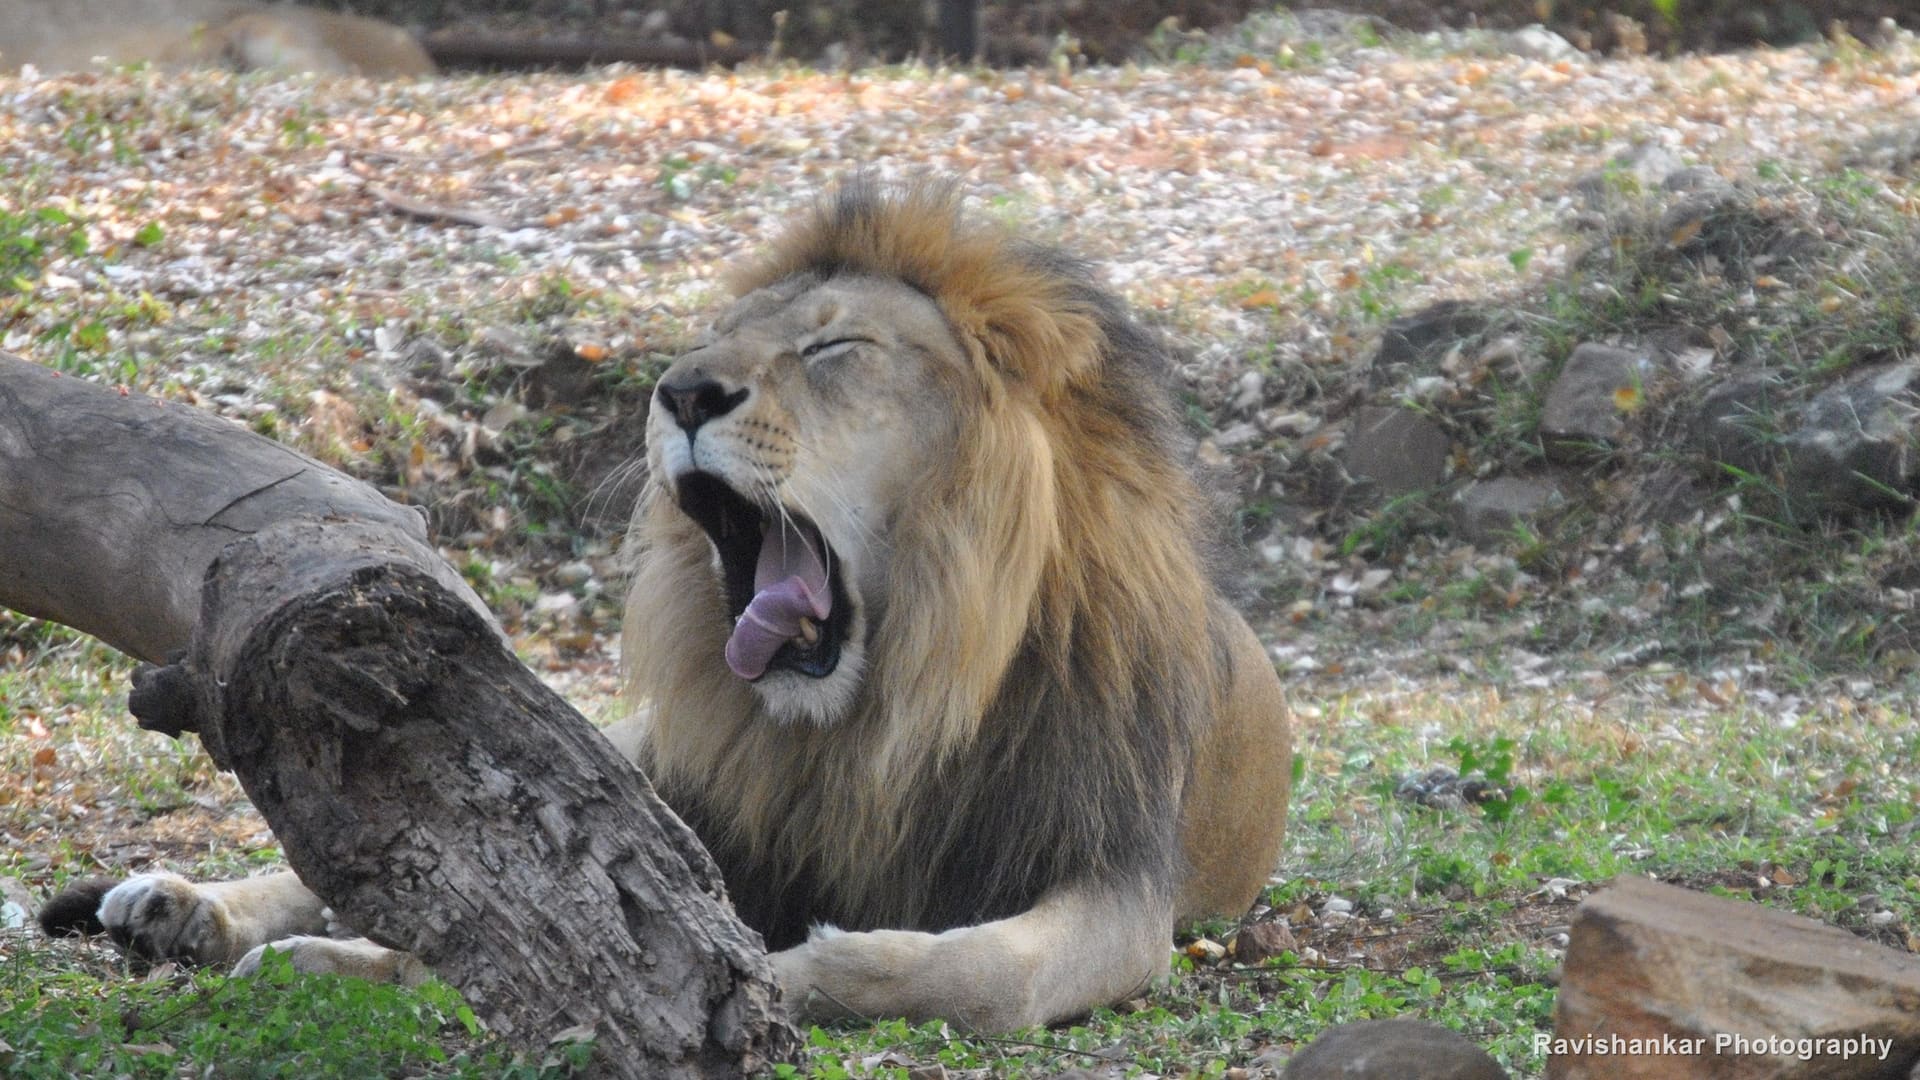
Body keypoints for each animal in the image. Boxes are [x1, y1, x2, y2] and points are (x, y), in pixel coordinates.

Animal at [40, 179, 1293, 1032]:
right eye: (713, 344)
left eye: (833, 347)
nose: (682, 391)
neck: (875, 712)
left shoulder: (1120, 881)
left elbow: (980, 970)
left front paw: (805, 969)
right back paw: (184, 906)